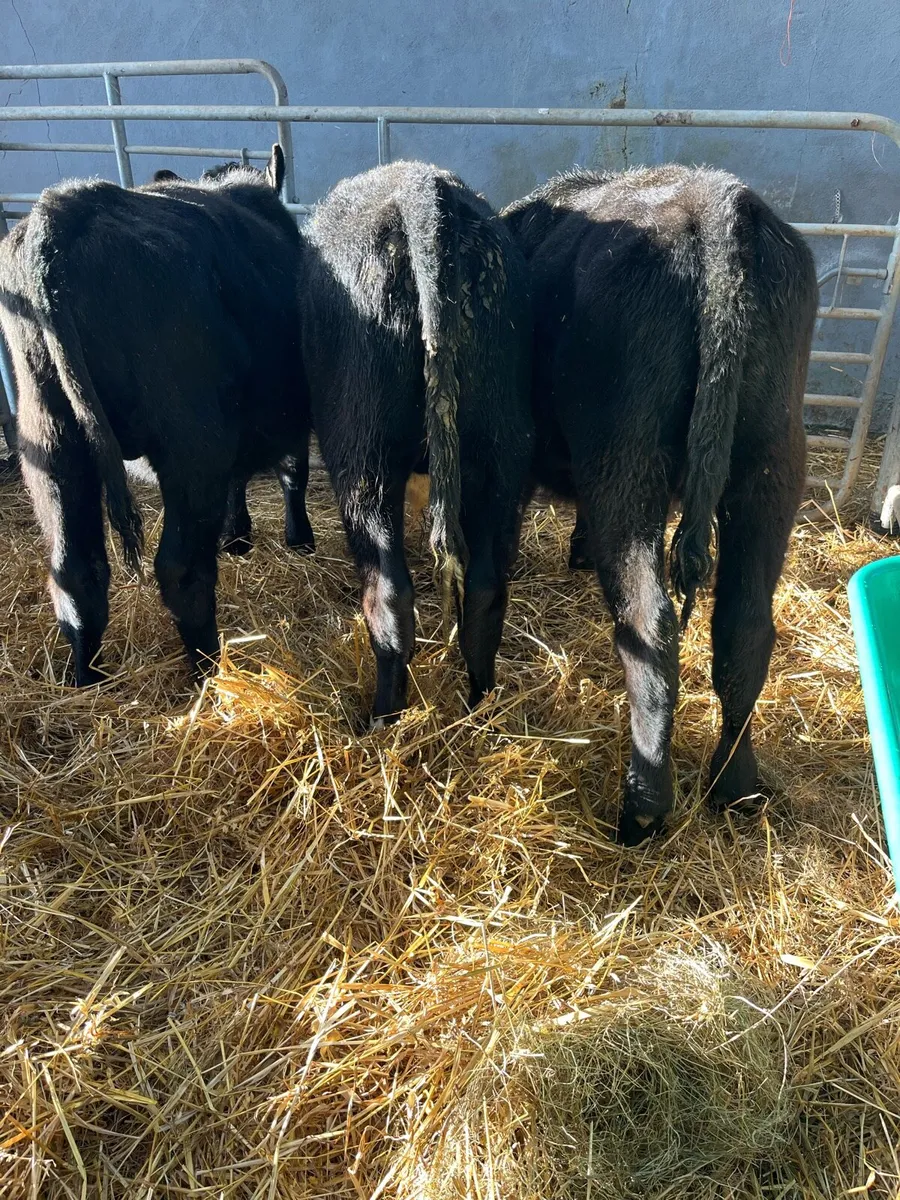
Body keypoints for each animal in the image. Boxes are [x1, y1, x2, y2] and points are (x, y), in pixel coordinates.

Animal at [0, 147, 309, 684]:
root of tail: (63, 209)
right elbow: (292, 471)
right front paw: (297, 540)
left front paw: (237, 536)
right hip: (191, 442)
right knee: (181, 569)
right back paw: (209, 671)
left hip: (52, 440)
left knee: (75, 572)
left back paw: (87, 679)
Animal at [502, 165, 818, 846]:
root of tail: (718, 202)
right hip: (772, 461)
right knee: (745, 628)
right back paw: (735, 785)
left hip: (626, 462)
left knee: (650, 626)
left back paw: (642, 806)